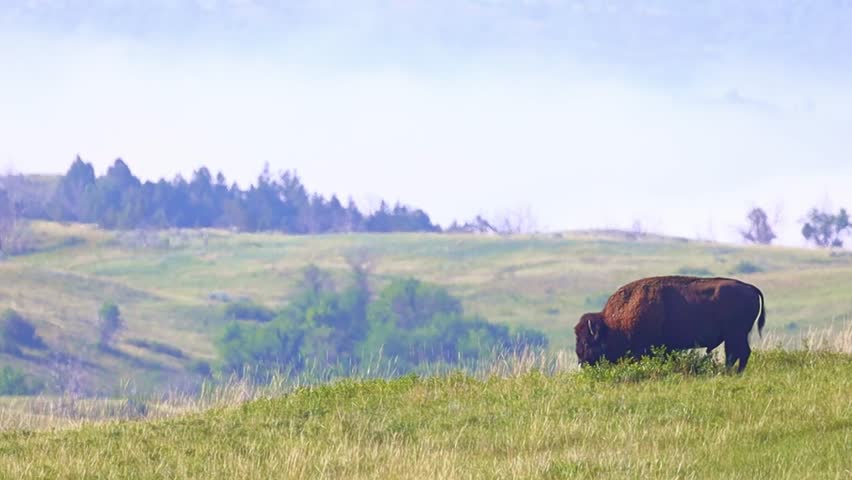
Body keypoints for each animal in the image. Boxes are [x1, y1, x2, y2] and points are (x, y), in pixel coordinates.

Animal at [575, 276, 765, 372]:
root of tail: (750, 287)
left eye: (587, 343)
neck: (612, 324)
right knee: (738, 354)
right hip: (736, 336)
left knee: (737, 354)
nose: (581, 363)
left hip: (735, 335)